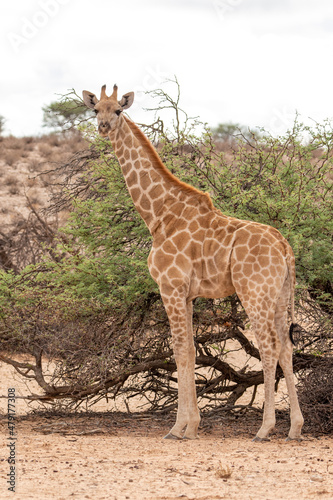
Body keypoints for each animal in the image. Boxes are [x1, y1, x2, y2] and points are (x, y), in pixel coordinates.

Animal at [81, 85, 302, 442]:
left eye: (118, 110)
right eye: (95, 109)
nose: (103, 127)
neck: (158, 215)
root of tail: (285, 247)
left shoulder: (170, 287)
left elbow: (180, 350)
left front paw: (178, 427)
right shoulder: (187, 294)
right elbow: (188, 351)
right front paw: (192, 425)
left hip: (254, 293)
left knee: (269, 346)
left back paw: (264, 428)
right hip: (281, 295)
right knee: (286, 348)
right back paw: (295, 428)